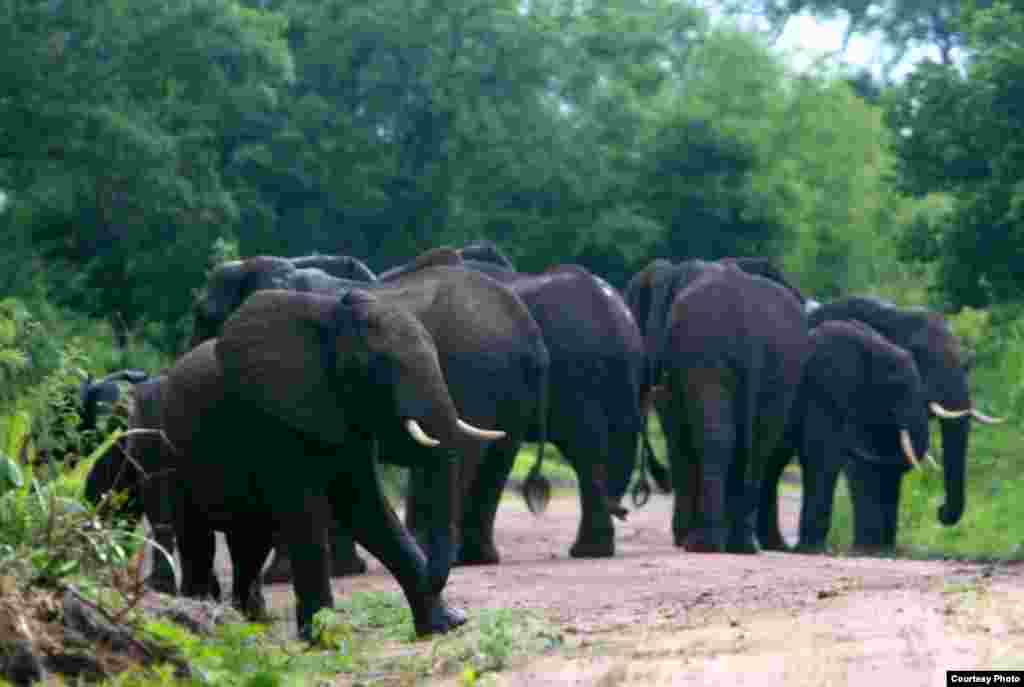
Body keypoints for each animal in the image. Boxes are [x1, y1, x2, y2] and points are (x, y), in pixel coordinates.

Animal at [161, 288, 506, 637]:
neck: (330, 319)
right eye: (380, 365)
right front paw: (321, 636)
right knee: (197, 538)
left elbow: (365, 507)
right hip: (173, 451)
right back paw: (197, 616)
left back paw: (248, 621)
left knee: (250, 543)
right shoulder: (275, 420)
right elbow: (305, 509)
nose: (436, 580)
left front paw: (444, 625)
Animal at [625, 259, 810, 552]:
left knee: (715, 439)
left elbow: (677, 435)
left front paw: (681, 537)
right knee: (760, 445)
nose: (656, 480)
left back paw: (702, 543)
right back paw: (742, 545)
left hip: (707, 354)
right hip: (782, 367)